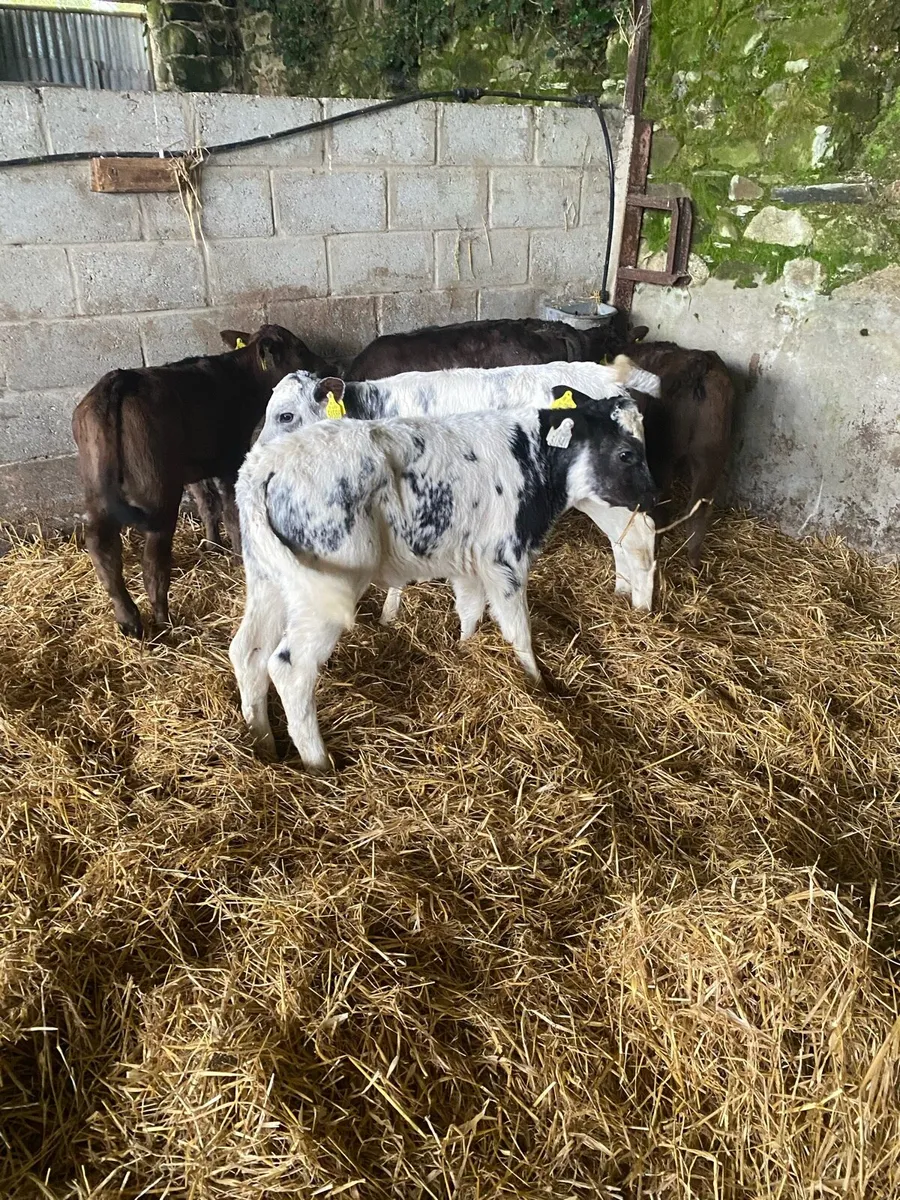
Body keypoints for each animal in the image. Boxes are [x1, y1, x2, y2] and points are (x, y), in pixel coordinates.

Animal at [71, 324, 335, 638]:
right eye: (299, 348)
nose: (329, 367)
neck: (242, 376)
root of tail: (118, 380)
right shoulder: (230, 458)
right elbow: (230, 511)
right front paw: (237, 554)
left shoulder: (193, 467)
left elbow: (206, 504)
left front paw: (212, 545)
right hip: (157, 491)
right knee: (154, 561)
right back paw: (163, 620)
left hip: (97, 490)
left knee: (102, 548)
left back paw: (129, 620)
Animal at [229, 388, 660, 771]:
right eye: (626, 454)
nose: (653, 496)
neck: (532, 458)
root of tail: (266, 465)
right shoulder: (504, 558)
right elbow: (518, 630)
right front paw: (538, 686)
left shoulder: (467, 561)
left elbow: (469, 611)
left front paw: (465, 651)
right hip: (324, 590)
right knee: (290, 667)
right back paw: (319, 764)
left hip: (269, 579)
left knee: (248, 650)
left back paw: (262, 743)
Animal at [257, 356, 662, 617]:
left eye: (286, 415)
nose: (257, 454)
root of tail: (607, 375)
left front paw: (390, 613)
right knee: (621, 537)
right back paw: (621, 590)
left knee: (641, 533)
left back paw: (640, 608)